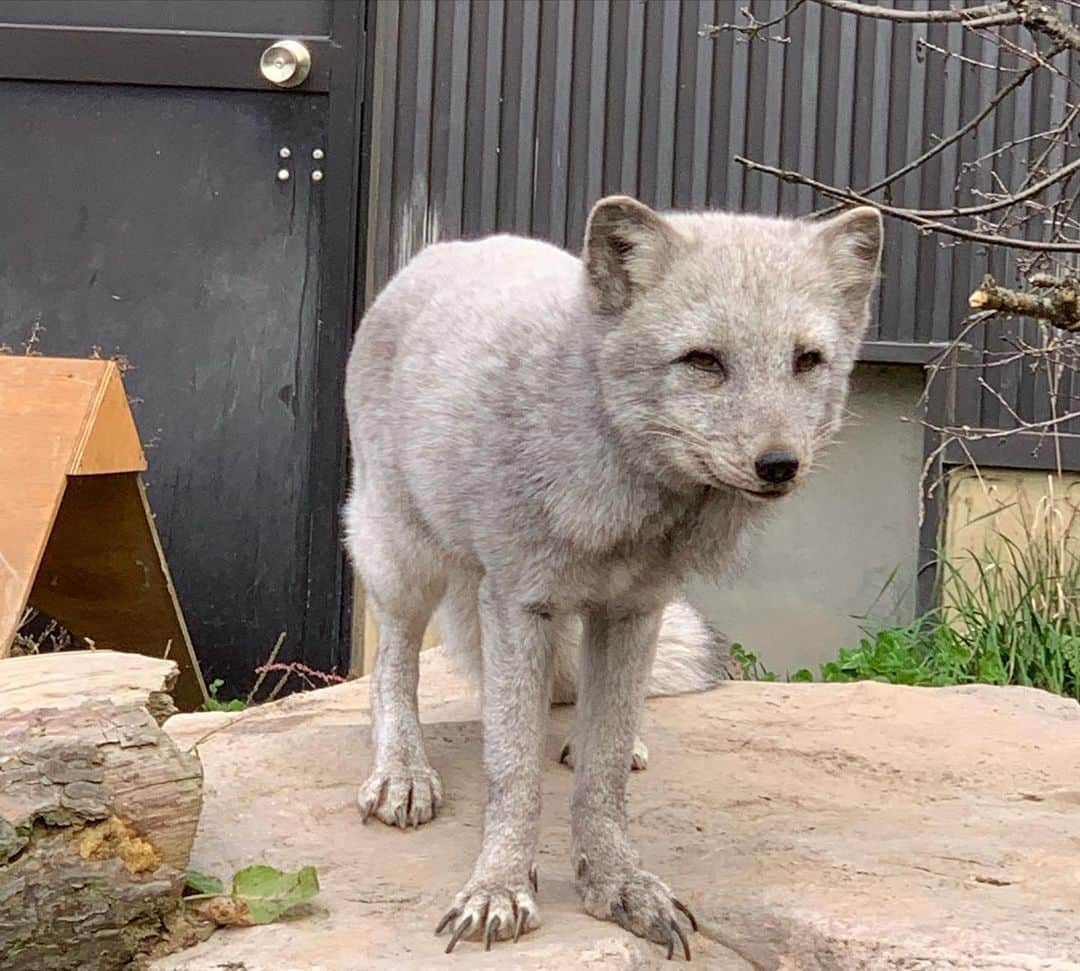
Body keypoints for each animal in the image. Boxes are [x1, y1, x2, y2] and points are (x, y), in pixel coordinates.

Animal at [345, 195, 885, 954]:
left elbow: (601, 778)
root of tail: (445, 248)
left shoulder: (635, 610)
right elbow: (512, 772)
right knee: (395, 662)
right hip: (404, 554)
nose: (780, 464)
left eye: (807, 361)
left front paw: (618, 884)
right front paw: (498, 888)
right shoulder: (518, 602)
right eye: (703, 361)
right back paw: (402, 770)